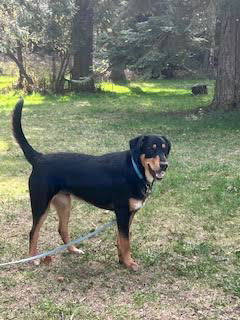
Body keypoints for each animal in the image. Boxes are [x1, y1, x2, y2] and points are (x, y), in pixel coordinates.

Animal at [12, 99, 171, 272]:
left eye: (165, 150)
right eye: (150, 148)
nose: (164, 165)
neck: (135, 170)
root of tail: (39, 158)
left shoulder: (129, 213)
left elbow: (121, 240)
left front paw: (122, 260)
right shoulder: (122, 212)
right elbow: (126, 241)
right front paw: (129, 263)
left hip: (64, 203)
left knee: (62, 229)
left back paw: (73, 250)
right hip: (41, 205)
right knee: (33, 232)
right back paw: (33, 259)